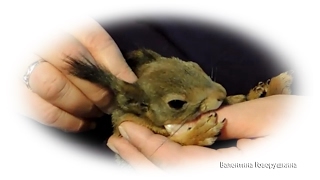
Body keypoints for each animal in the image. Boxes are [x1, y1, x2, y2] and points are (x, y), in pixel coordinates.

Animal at [65, 48, 292, 146]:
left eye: (193, 65)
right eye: (176, 103)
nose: (222, 93)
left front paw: (271, 89)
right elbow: (179, 141)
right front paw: (200, 133)